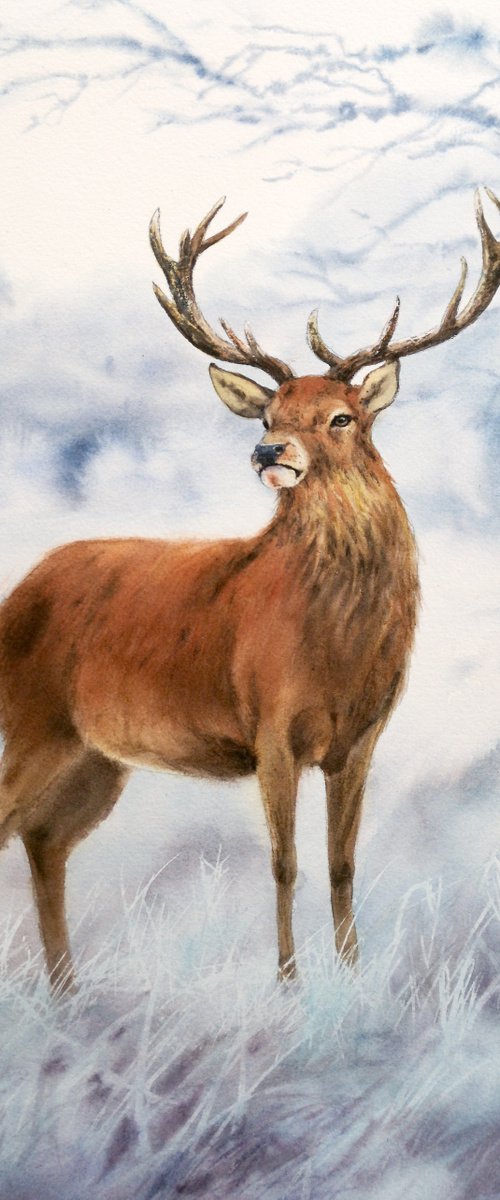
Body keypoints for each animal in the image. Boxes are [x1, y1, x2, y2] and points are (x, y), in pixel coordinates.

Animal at [0, 190, 499, 994]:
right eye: (270, 415)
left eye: (342, 416)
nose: (269, 452)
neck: (340, 645)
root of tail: (15, 594)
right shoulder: (271, 726)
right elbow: (284, 862)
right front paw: (290, 984)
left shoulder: (361, 740)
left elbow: (341, 862)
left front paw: (351, 977)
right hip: (35, 719)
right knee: (16, 825)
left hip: (95, 754)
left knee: (45, 840)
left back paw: (67, 992)